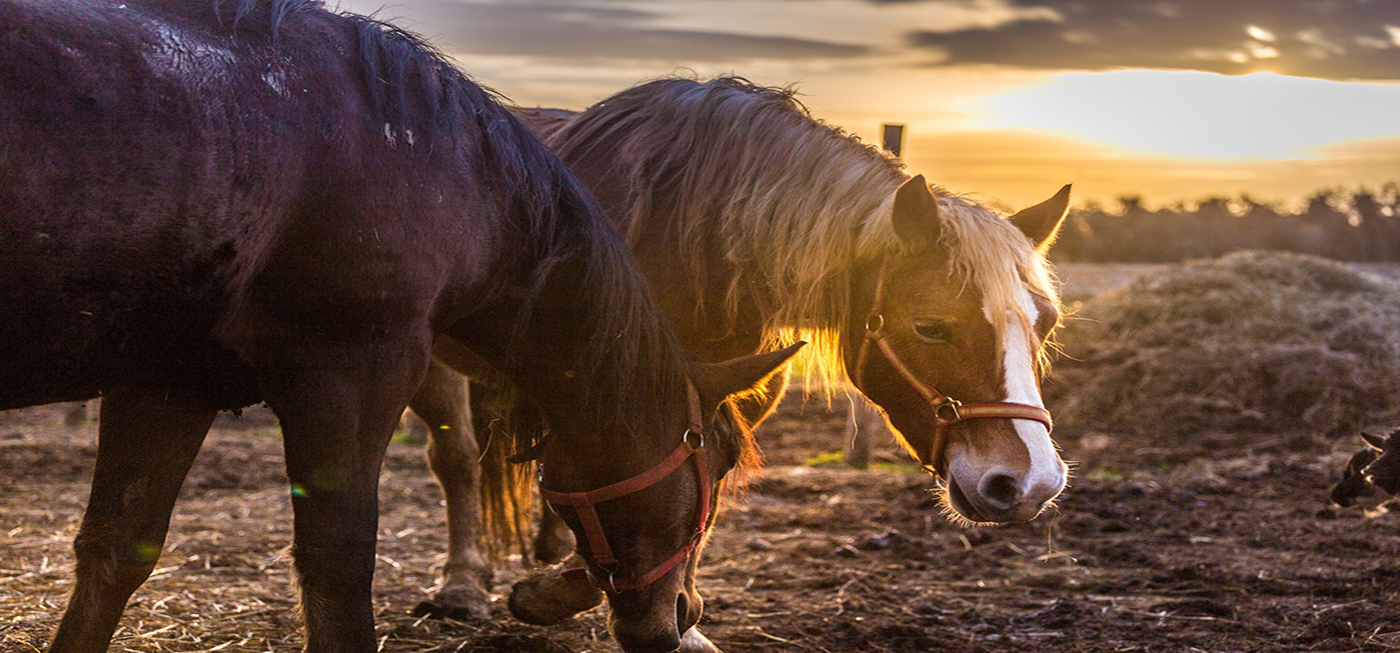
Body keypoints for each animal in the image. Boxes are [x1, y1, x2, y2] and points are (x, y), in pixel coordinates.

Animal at [0, 6, 795, 653]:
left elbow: (115, 552)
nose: (679, 617)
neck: (447, 171)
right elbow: (338, 574)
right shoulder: (353, 374)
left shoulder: (170, 382)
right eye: (719, 460)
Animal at [411, 76, 1069, 647]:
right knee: (456, 459)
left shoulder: (721, 387)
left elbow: (701, 485)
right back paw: (462, 584)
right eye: (930, 326)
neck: (690, 232)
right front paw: (573, 591)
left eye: (1046, 324)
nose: (1030, 483)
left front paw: (673, 612)